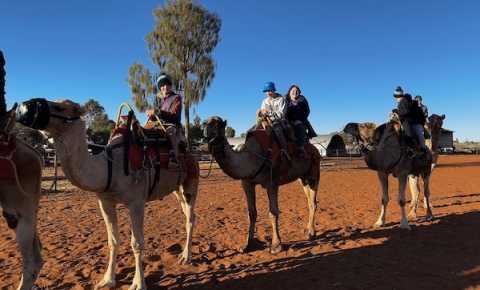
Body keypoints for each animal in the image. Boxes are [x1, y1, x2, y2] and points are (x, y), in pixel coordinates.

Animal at [15, 98, 199, 290]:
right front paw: (107, 280)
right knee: (186, 214)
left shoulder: (136, 202)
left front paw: (138, 283)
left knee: (190, 217)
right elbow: (113, 240)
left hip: (190, 183)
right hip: (177, 190)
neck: (110, 167)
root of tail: (192, 155)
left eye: (61, 107)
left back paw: (186, 257)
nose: (25, 107)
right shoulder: (105, 202)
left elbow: (137, 243)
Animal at [204, 115, 320, 254]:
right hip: (302, 178)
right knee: (309, 201)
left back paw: (311, 233)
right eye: (205, 125)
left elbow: (273, 212)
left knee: (313, 202)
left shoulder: (272, 183)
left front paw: (276, 245)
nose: (211, 141)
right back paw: (307, 230)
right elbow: (251, 213)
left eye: (220, 126)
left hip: (314, 172)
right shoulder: (247, 183)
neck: (251, 158)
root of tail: (315, 149)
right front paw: (247, 245)